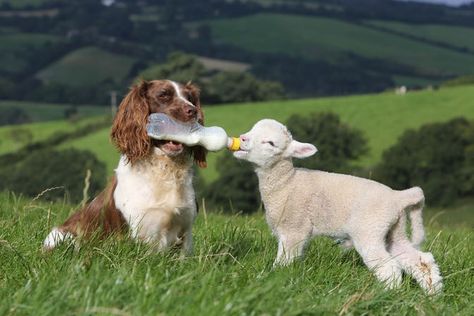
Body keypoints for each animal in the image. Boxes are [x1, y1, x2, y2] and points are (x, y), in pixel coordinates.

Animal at [43, 79, 206, 254]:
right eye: (163, 95)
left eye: (189, 97)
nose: (193, 111)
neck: (164, 170)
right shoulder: (140, 232)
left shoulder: (185, 230)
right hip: (63, 236)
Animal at [235, 118, 442, 294]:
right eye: (252, 129)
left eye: (270, 143)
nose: (242, 138)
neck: (286, 183)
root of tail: (398, 197)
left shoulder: (294, 229)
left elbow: (284, 260)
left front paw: (272, 279)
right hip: (394, 231)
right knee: (421, 260)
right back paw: (434, 294)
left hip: (369, 230)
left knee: (389, 267)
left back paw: (386, 294)